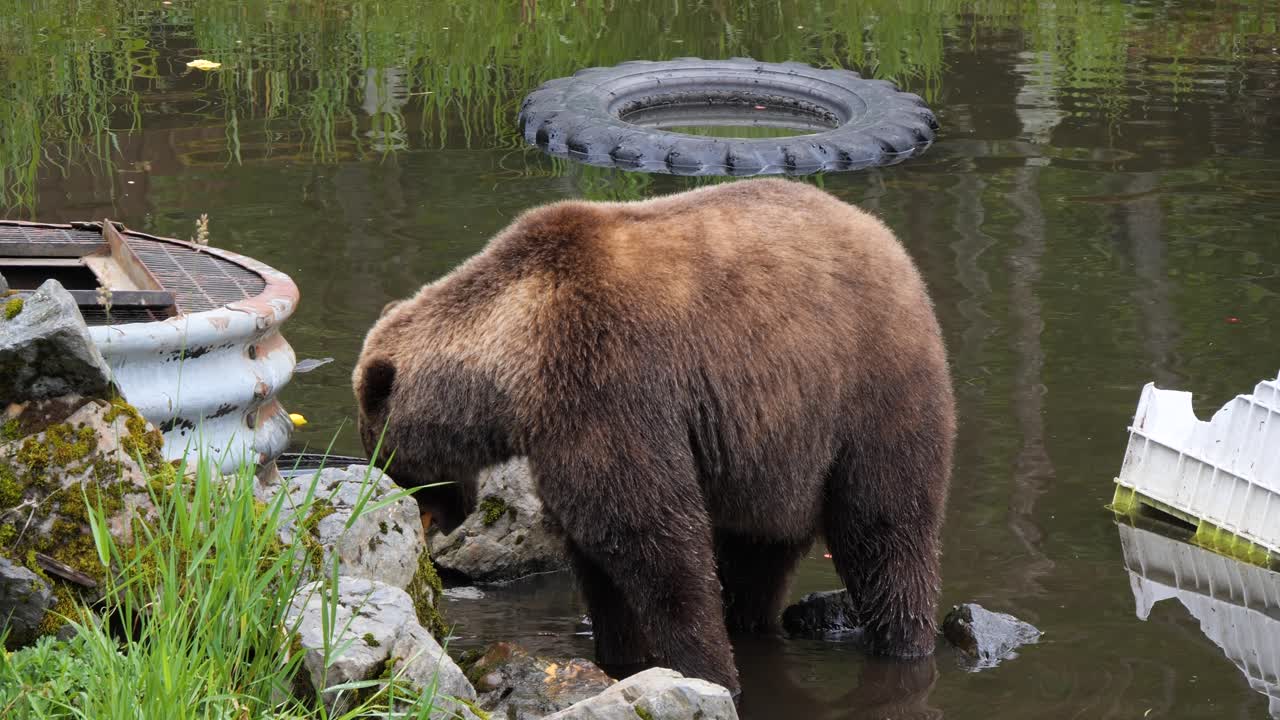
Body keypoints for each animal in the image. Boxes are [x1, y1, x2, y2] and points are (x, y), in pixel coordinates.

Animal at [352, 178, 955, 695]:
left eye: (379, 446)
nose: (427, 510)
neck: (513, 368)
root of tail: (889, 241)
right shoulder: (566, 428)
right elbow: (598, 556)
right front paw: (622, 654)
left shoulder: (606, 380)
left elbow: (652, 536)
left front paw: (708, 670)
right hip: (773, 452)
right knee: (758, 552)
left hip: (867, 390)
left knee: (884, 530)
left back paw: (903, 641)